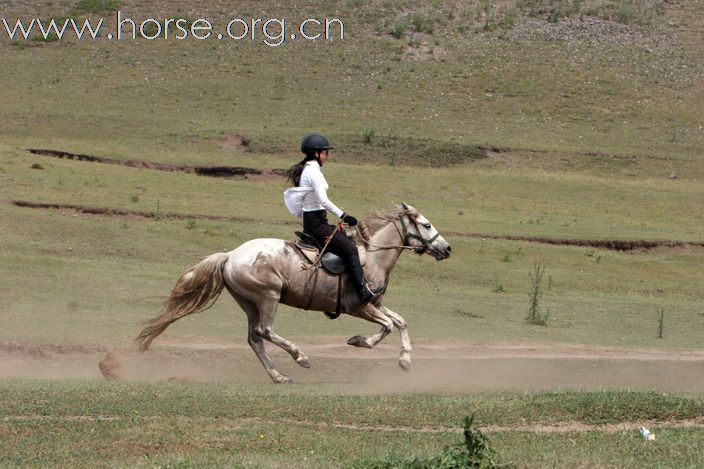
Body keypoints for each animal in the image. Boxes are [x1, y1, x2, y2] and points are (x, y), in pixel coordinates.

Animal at [136, 203, 452, 382]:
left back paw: (278, 376)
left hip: (248, 302)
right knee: (264, 331)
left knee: (254, 339)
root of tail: (230, 255)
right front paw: (358, 341)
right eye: (426, 225)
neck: (373, 257)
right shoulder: (360, 307)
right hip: (268, 296)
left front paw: (405, 360)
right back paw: (300, 357)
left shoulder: (375, 304)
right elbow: (386, 327)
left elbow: (400, 322)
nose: (447, 248)